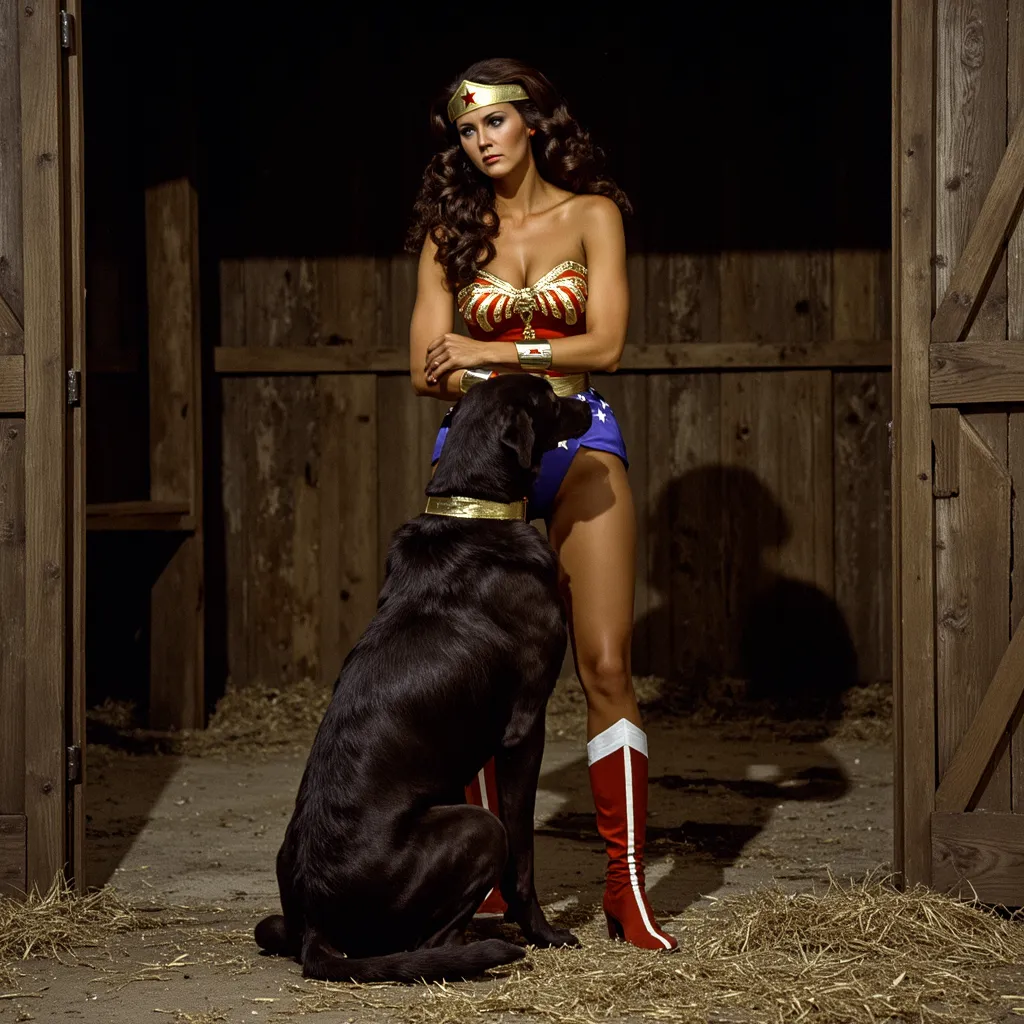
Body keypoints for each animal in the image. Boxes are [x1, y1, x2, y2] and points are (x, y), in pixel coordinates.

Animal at [254, 376, 593, 983]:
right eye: (550, 401)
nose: (586, 405)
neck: (475, 510)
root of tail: (315, 924)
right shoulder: (524, 727)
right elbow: (524, 857)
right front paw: (545, 933)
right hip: (478, 828)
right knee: (432, 942)